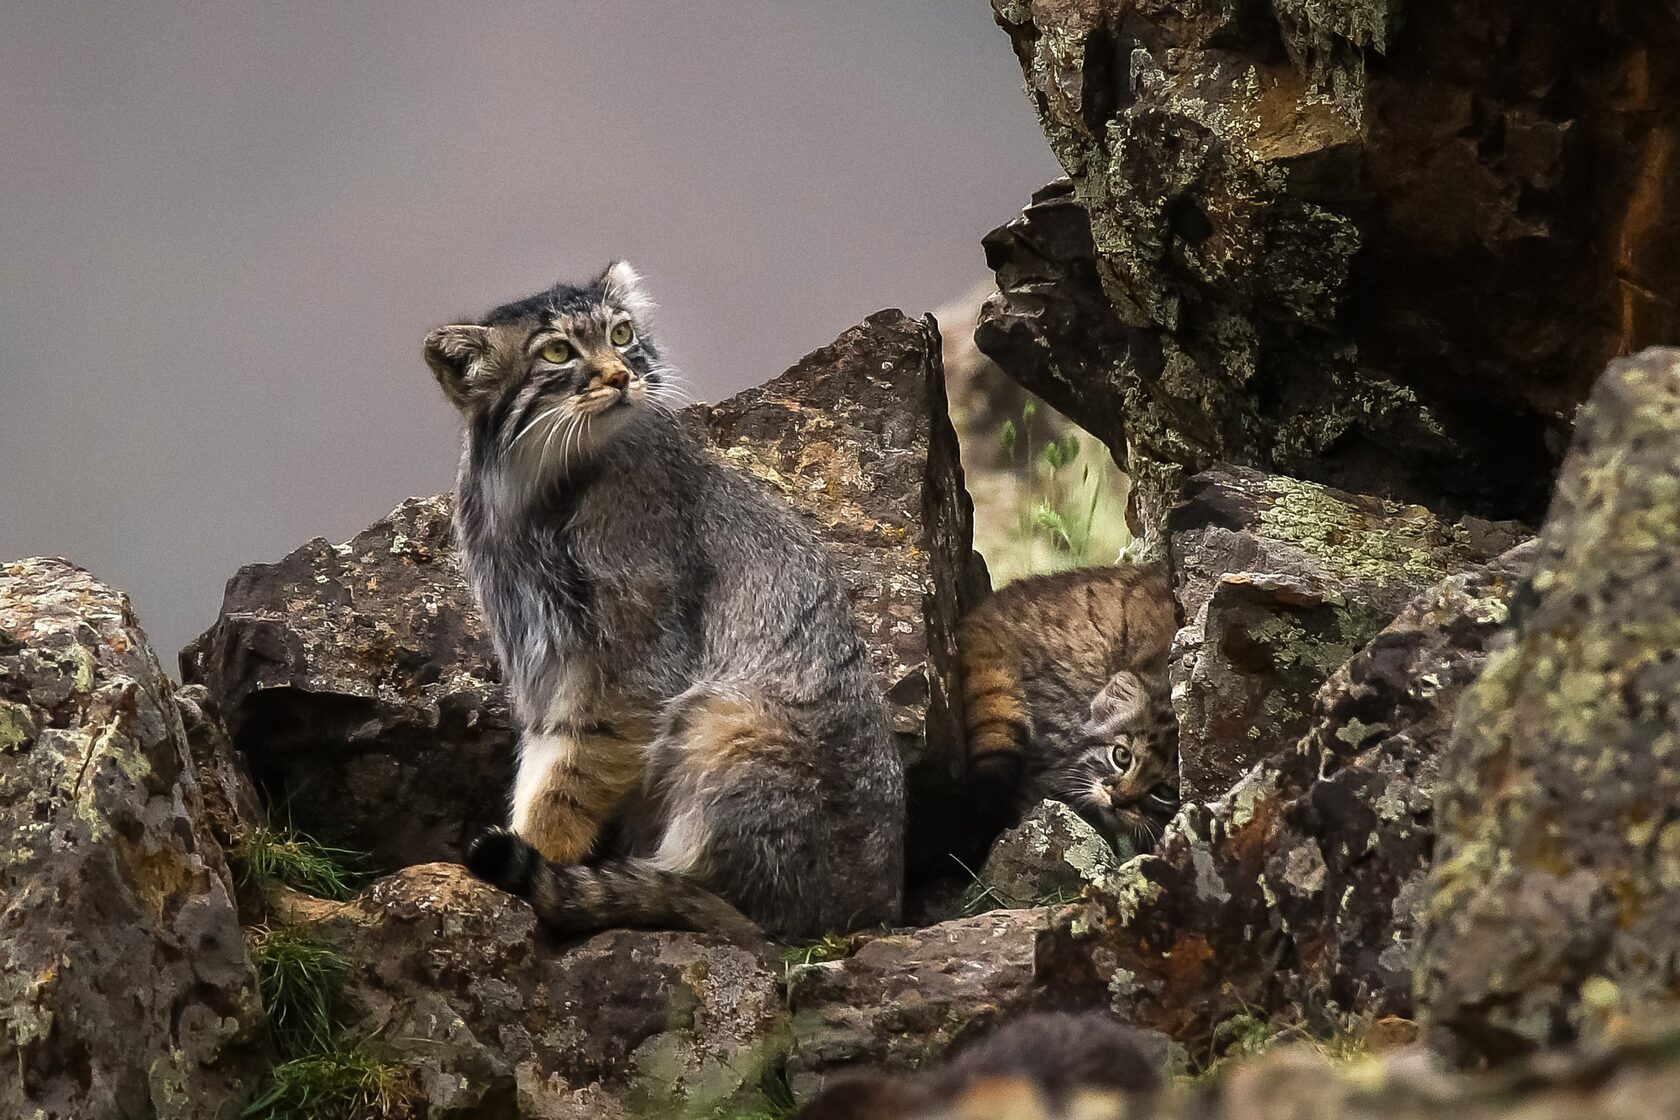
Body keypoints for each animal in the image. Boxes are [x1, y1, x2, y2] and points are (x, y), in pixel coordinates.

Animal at [430, 260, 907, 940]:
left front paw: (539, 849)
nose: (621, 375)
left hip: (725, 714)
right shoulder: (536, 646)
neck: (531, 490)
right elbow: (545, 752)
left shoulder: (636, 660)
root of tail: (875, 905)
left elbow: (571, 770)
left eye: (622, 334)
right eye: (557, 352)